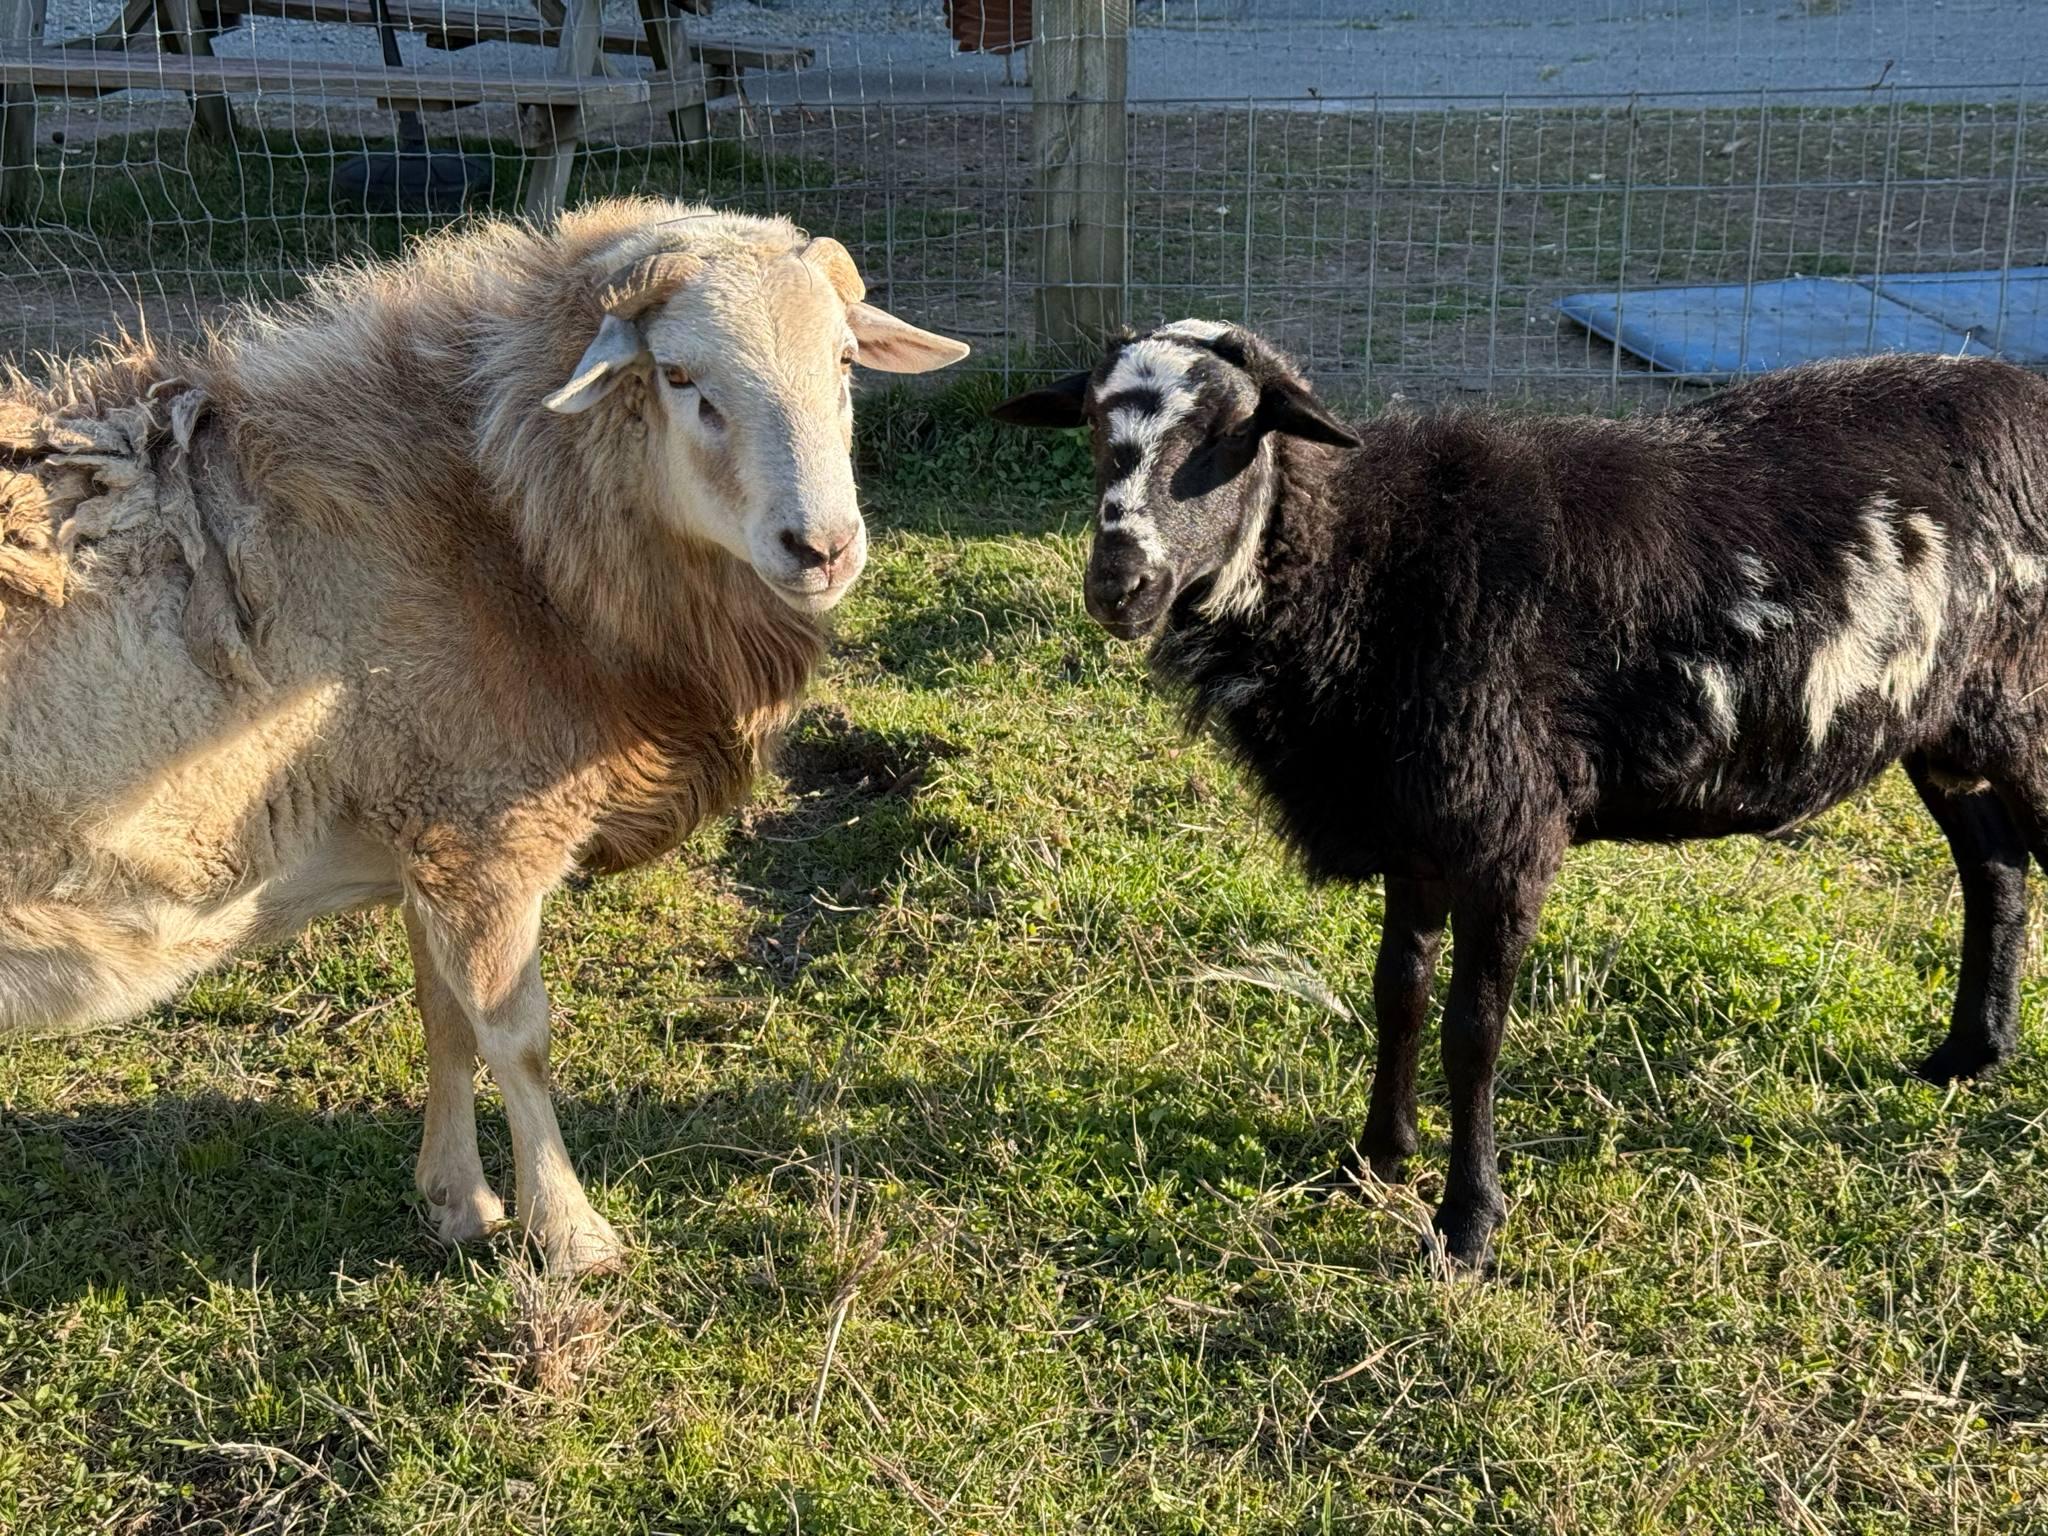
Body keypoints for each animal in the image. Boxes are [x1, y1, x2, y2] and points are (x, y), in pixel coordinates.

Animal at [0, 199, 968, 1274]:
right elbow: (516, 1039)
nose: (823, 547)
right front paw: (573, 1235)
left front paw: (458, 1201)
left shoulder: (429, 829)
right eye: (679, 376)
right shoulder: (486, 833)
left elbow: (445, 1025)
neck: (498, 522)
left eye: (842, 360)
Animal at [994, 322, 2048, 1271]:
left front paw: (1466, 1226)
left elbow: (1474, 1031)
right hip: (1946, 725)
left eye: (1229, 431)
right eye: (1092, 427)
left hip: (2022, 712)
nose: (1120, 586)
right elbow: (1399, 993)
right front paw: (1374, 1162)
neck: (1369, 569)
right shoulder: (1416, 823)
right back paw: (1968, 1055)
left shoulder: (1506, 832)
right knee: (1994, 866)